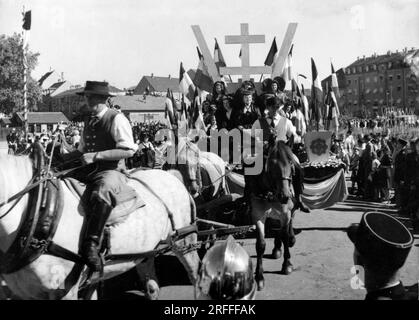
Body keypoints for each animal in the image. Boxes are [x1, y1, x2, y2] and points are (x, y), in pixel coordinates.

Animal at [0, 155, 199, 300]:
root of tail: (170, 174)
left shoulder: (64, 291)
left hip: (183, 240)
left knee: (195, 273)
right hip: (146, 249)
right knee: (151, 284)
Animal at [249, 141, 298, 292]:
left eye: (290, 163)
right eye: (271, 164)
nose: (285, 195)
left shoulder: (285, 213)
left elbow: (285, 236)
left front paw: (287, 264)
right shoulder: (258, 215)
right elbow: (260, 244)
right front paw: (259, 277)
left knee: (289, 222)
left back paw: (291, 238)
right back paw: (277, 248)